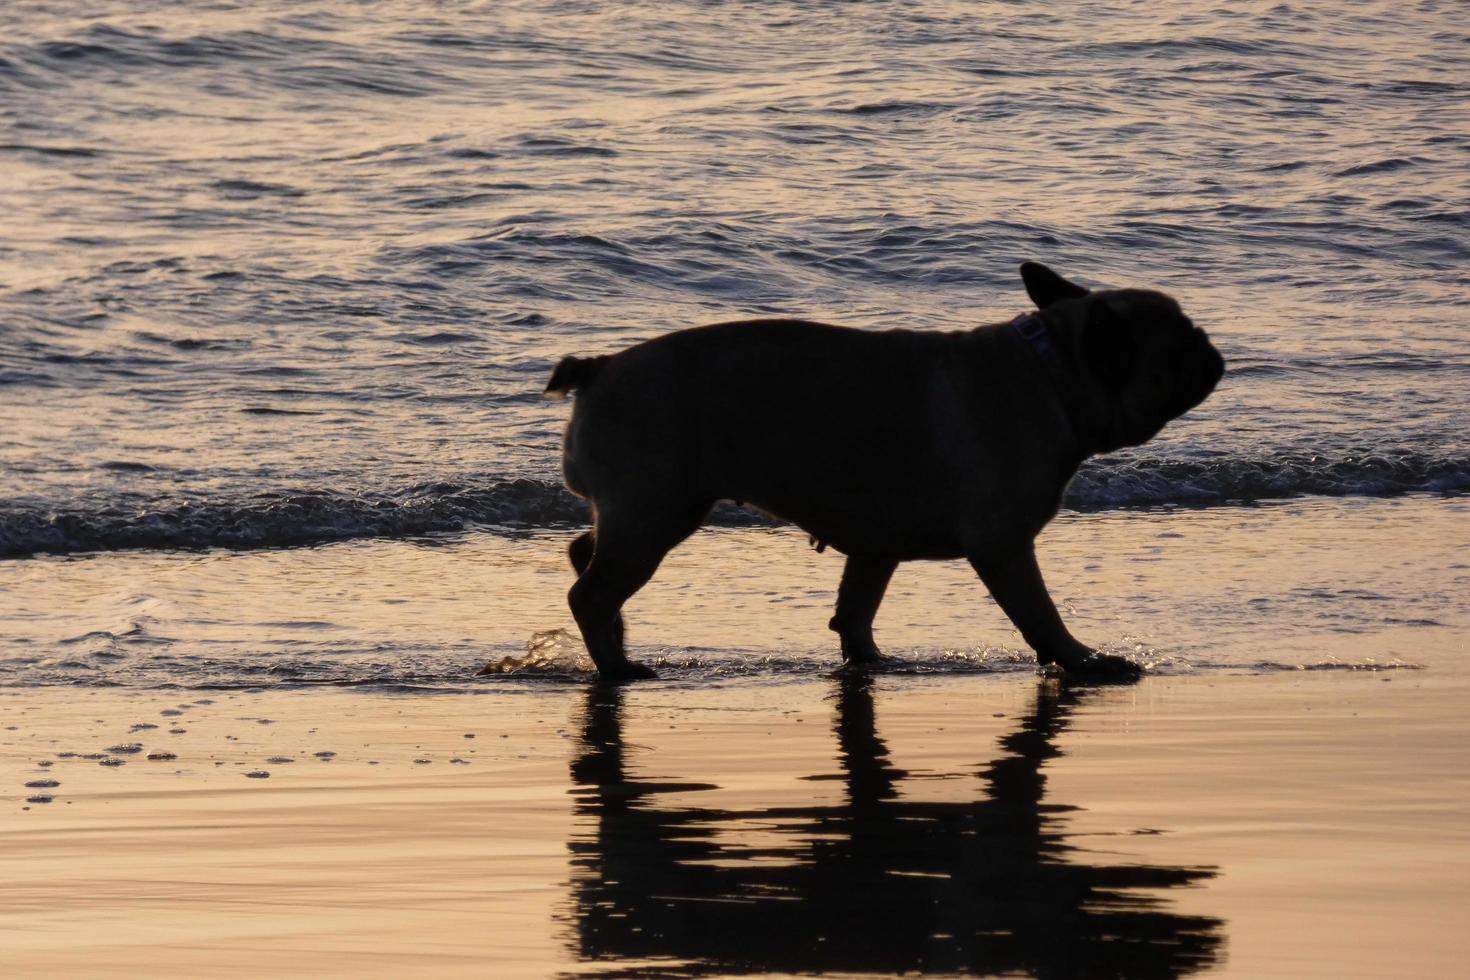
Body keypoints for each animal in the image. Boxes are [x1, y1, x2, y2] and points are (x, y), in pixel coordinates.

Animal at [546, 264, 1223, 687]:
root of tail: (597, 369)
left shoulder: (875, 546)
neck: (1052, 372)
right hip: (656, 513)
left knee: (585, 555)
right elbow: (1040, 614)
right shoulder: (1004, 547)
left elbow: (856, 610)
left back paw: (618, 642)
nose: (1212, 347)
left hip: (650, 513)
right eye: (1183, 345)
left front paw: (868, 662)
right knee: (590, 592)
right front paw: (1082, 661)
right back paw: (617, 667)